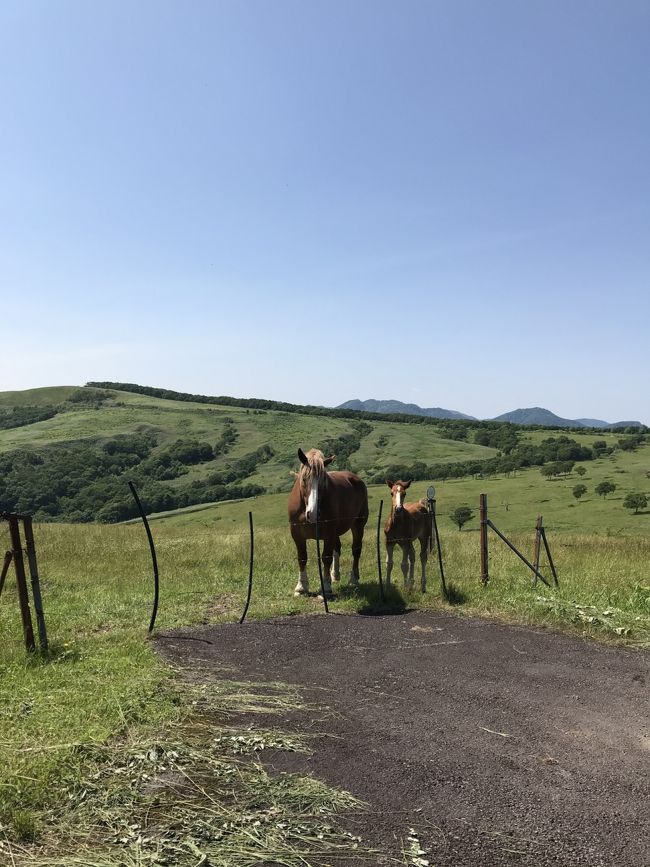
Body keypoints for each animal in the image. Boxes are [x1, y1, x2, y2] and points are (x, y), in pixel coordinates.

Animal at [286, 448, 368, 596]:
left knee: (356, 550)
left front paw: (325, 586)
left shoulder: (329, 533)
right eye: (304, 479)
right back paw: (334, 575)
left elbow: (326, 557)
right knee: (338, 548)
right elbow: (302, 557)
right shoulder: (297, 534)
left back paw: (353, 579)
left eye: (323, 482)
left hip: (358, 525)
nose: (312, 514)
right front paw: (301, 587)